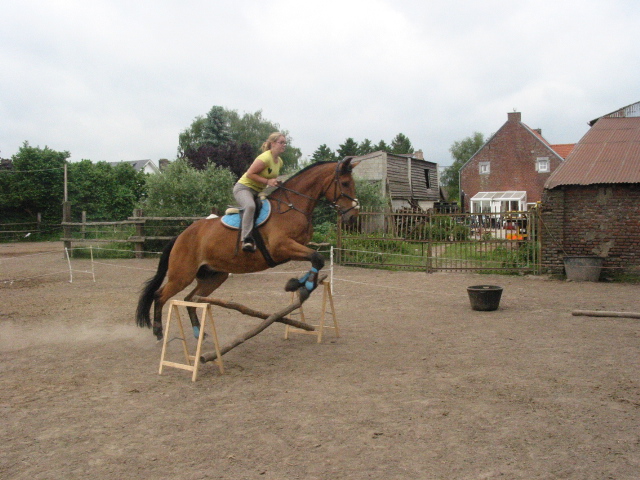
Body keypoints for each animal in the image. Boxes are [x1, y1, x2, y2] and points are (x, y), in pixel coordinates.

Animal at [135, 156, 360, 340]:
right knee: (160, 296)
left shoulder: (296, 247)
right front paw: (303, 287)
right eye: (345, 183)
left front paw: (297, 284)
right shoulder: (281, 247)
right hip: (182, 275)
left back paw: (199, 332)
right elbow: (317, 258)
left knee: (190, 298)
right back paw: (158, 331)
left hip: (214, 275)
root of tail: (180, 236)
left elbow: (315, 259)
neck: (292, 206)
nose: (352, 217)